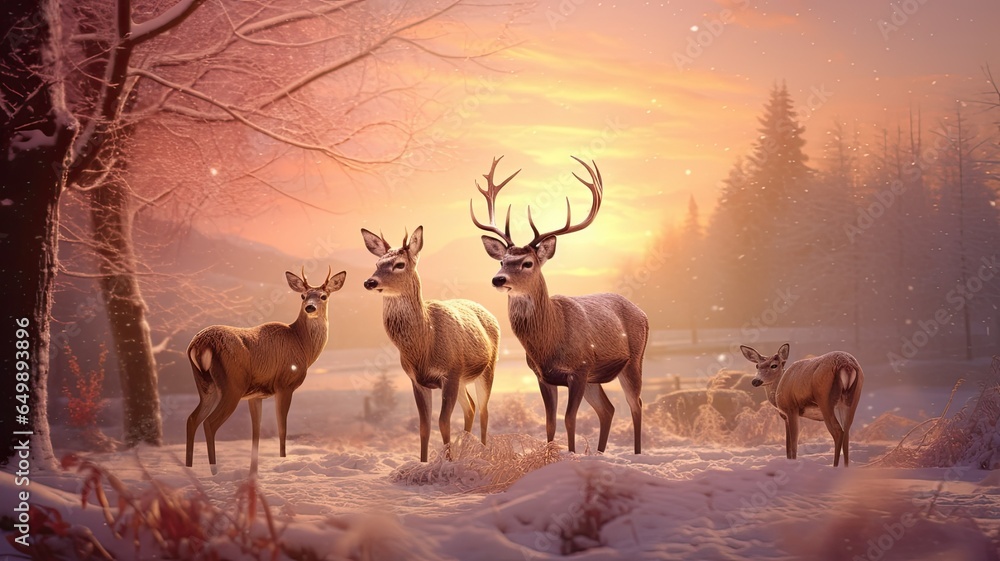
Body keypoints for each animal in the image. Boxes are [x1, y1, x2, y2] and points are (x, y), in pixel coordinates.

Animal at [185, 267, 346, 475]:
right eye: (303, 296)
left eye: (323, 296)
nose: (310, 307)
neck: (302, 345)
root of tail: (199, 345)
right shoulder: (285, 384)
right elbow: (282, 427)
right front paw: (282, 460)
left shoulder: (256, 395)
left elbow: (256, 430)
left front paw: (254, 470)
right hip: (232, 385)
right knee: (209, 423)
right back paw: (214, 470)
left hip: (205, 385)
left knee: (192, 419)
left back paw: (188, 467)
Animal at [361, 226, 499, 462]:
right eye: (377, 263)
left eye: (399, 264)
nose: (370, 282)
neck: (424, 346)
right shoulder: (417, 380)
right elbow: (424, 427)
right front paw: (424, 463)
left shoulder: (450, 372)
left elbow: (443, 422)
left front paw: (447, 462)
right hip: (462, 380)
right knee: (471, 408)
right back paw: (466, 451)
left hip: (487, 368)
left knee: (483, 410)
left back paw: (482, 454)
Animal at [471, 156, 648, 454]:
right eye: (502, 260)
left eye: (527, 263)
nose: (498, 279)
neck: (548, 341)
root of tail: (643, 313)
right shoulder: (543, 376)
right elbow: (550, 423)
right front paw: (551, 455)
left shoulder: (579, 368)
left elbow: (569, 420)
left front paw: (571, 454)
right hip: (596, 378)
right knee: (608, 409)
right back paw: (600, 453)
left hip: (633, 360)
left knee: (635, 405)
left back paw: (636, 454)